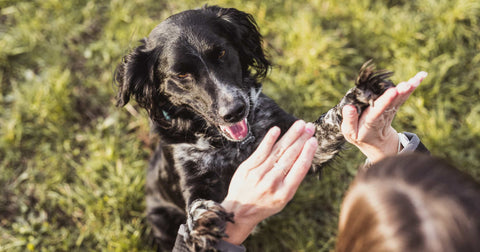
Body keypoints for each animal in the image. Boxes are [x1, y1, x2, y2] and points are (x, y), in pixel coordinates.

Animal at [115, 5, 394, 250]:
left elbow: (329, 122)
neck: (231, 146)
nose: (235, 110)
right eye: (181, 75)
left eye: (221, 53)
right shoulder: (191, 178)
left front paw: (359, 95)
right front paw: (202, 222)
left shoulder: (303, 142)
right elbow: (196, 204)